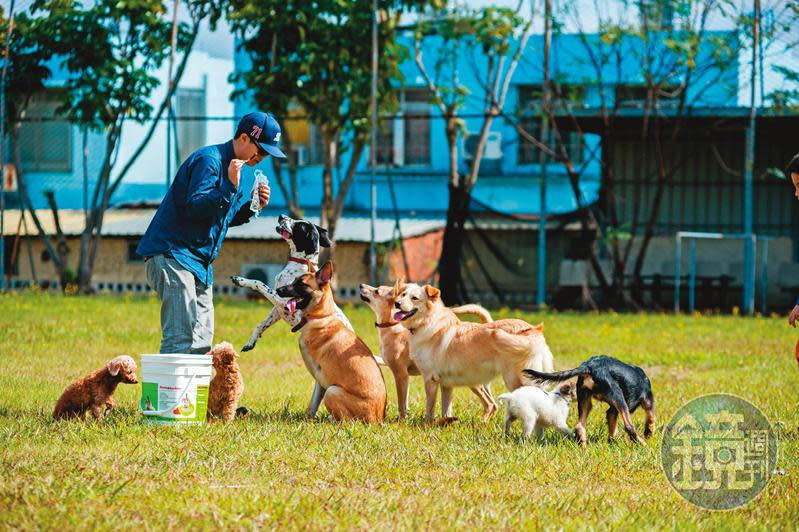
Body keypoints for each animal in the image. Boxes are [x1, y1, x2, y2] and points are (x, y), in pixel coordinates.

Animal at [276, 262, 388, 424]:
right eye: (294, 280)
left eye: (301, 284)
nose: (278, 290)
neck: (320, 316)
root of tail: (377, 419)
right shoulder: (320, 381)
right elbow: (312, 405)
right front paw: (307, 420)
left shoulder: (321, 377)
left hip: (332, 391)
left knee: (346, 420)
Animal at [360, 282, 496, 420]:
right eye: (402, 295)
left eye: (377, 291)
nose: (361, 285)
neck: (392, 325)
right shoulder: (404, 376)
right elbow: (405, 400)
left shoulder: (401, 374)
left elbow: (401, 402)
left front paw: (401, 420)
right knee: (494, 404)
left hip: (471, 381)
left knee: (489, 403)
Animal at [394, 282, 556, 424]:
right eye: (403, 294)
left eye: (415, 298)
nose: (396, 303)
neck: (427, 322)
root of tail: (534, 331)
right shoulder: (446, 384)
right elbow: (446, 409)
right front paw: (444, 424)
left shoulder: (430, 379)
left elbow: (430, 408)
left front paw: (428, 425)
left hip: (513, 380)